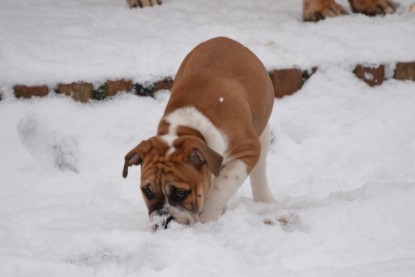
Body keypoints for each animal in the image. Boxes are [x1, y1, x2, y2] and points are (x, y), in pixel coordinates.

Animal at [122, 36, 276, 229]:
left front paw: (207, 219)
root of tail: (226, 39)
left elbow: (220, 188)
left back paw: (265, 199)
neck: (186, 130)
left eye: (181, 193)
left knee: (260, 168)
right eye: (147, 191)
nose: (163, 219)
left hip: (263, 132)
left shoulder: (247, 150)